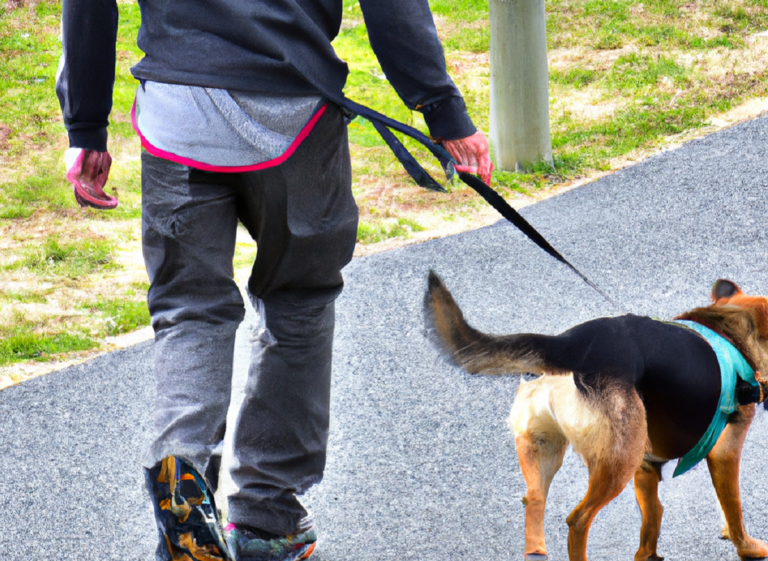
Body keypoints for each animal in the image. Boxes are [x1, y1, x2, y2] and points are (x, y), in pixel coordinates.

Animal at [426, 272, 768, 560]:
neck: (729, 326)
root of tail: (571, 344)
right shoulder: (725, 453)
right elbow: (733, 507)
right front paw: (747, 547)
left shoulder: (646, 468)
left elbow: (652, 520)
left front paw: (648, 556)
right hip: (618, 463)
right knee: (578, 521)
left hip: (548, 449)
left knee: (534, 501)